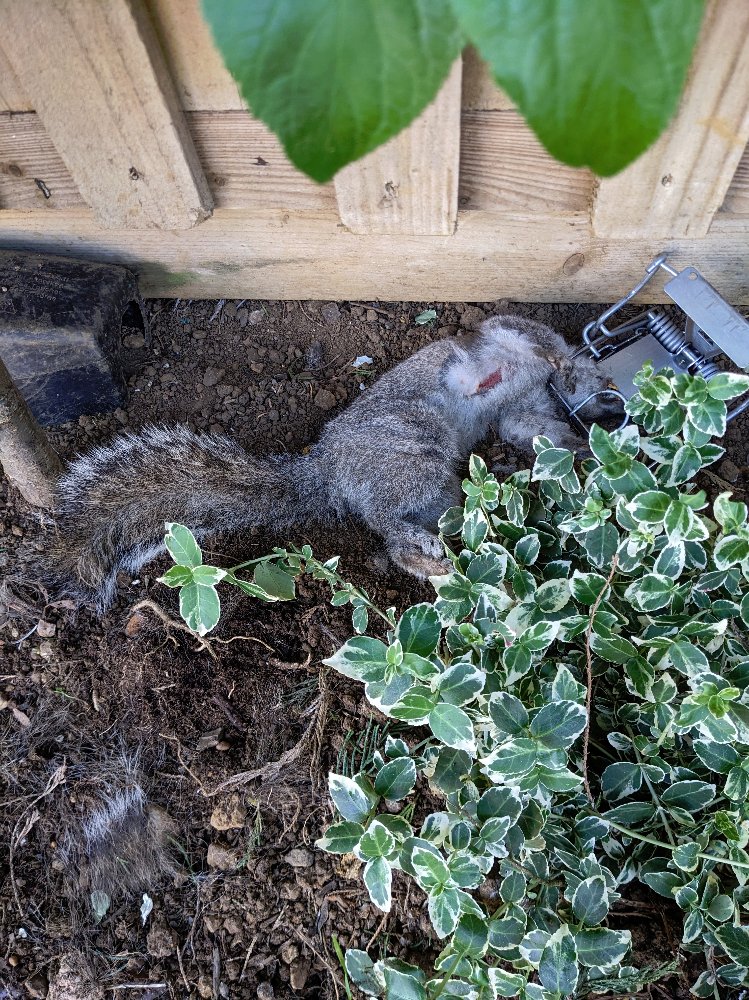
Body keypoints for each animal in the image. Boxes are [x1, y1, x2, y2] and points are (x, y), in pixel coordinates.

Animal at [54, 315, 615, 612]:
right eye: (603, 380)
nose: (608, 398)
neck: (534, 383)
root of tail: (329, 470)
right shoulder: (508, 333)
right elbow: (528, 336)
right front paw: (565, 370)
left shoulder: (522, 409)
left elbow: (529, 427)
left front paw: (576, 445)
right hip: (414, 450)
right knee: (386, 518)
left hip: (437, 492)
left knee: (401, 532)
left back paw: (433, 561)